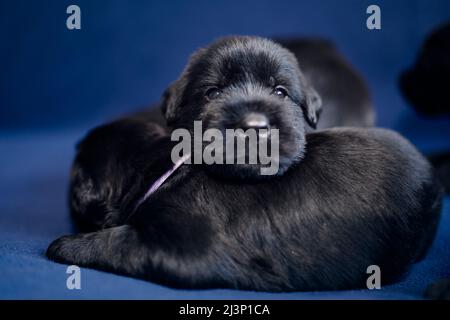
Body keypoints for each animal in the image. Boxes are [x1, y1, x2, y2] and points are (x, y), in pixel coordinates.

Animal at [47, 36, 442, 292]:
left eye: (281, 91)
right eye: (212, 92)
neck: (161, 169)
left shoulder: (186, 248)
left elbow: (120, 242)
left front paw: (66, 244)